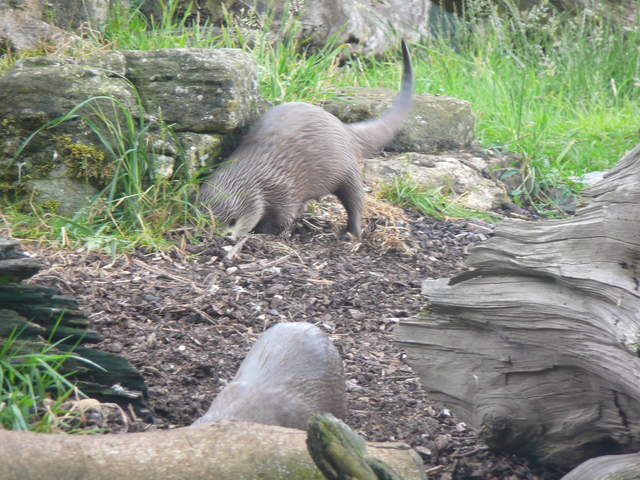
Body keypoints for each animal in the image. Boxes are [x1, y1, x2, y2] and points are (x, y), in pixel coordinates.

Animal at [199, 40, 414, 239]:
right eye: (206, 220)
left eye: (233, 221)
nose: (223, 236)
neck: (262, 180)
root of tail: (344, 128)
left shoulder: (285, 193)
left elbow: (282, 219)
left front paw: (267, 233)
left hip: (346, 169)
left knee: (355, 200)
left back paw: (351, 233)